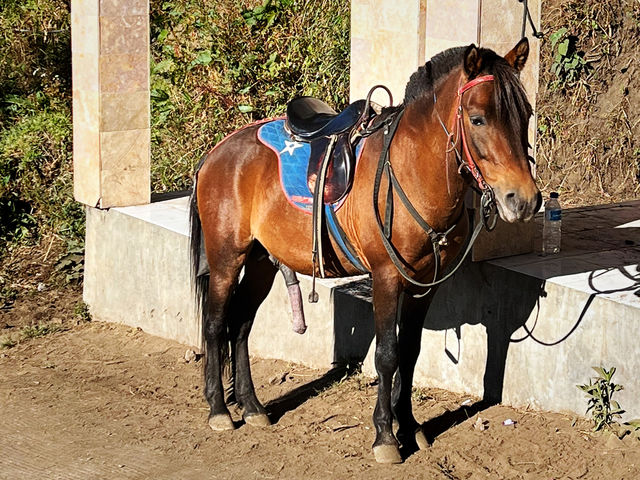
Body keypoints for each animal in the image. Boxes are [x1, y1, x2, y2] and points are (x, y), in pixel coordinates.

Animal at [189, 39, 540, 464]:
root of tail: (217, 152)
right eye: (477, 119)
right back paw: (219, 410)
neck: (412, 173)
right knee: (215, 324)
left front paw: (410, 426)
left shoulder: (425, 287)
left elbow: (410, 351)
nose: (524, 200)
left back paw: (253, 407)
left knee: (240, 324)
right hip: (227, 259)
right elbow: (386, 354)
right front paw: (385, 436)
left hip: (261, 263)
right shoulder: (386, 279)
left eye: (525, 114)